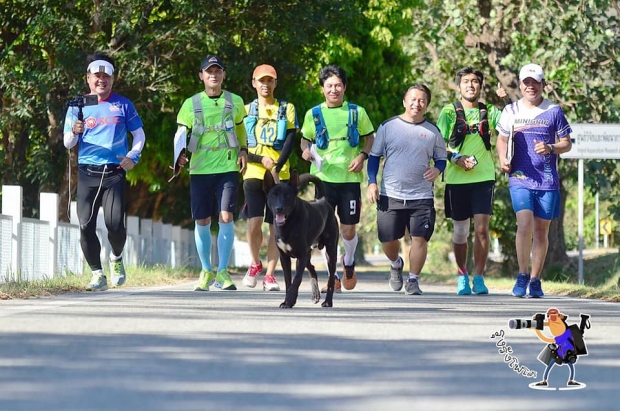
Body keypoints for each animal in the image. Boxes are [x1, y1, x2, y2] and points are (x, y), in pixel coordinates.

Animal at [262, 169, 340, 308]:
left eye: (287, 196)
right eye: (273, 195)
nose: (279, 208)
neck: (288, 224)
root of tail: (322, 200)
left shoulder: (301, 255)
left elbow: (297, 279)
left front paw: (290, 300)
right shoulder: (285, 257)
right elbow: (288, 281)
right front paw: (287, 301)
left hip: (330, 252)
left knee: (331, 277)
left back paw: (327, 302)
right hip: (308, 253)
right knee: (312, 268)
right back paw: (315, 295)